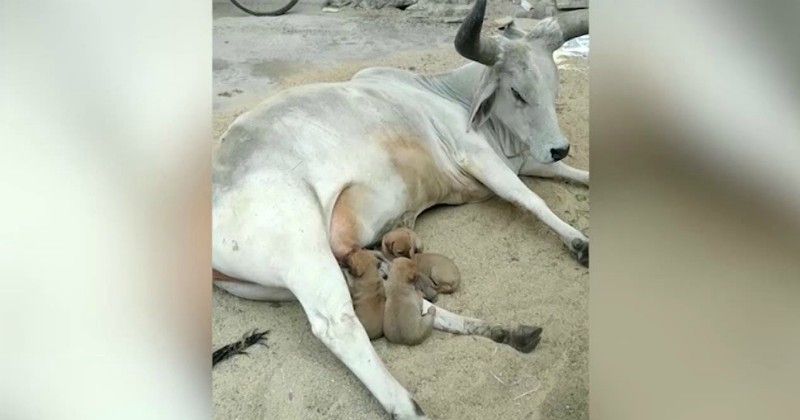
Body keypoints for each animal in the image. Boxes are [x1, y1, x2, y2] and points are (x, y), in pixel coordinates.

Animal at [212, 1, 588, 418]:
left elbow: (570, 174)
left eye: (554, 85)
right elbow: (528, 198)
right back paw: (408, 405)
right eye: (517, 93)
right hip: (302, 250)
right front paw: (579, 243)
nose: (559, 146)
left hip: (283, 282)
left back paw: (505, 332)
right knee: (337, 323)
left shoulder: (526, 160)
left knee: (411, 300)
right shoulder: (475, 153)